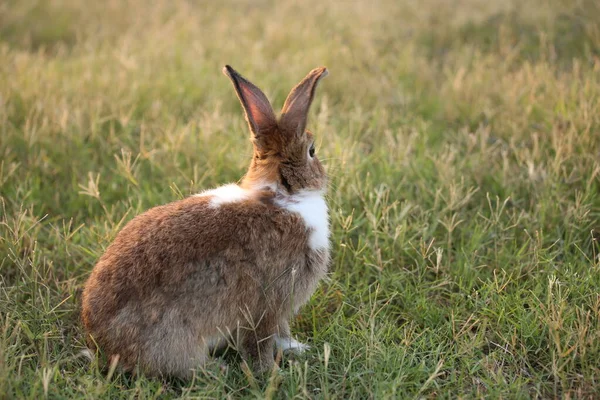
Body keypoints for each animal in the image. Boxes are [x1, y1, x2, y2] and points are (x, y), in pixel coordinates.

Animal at [80, 65, 330, 378]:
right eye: (312, 151)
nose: (326, 176)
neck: (280, 195)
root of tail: (101, 346)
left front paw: (298, 350)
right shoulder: (269, 302)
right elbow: (261, 341)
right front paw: (272, 374)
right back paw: (215, 370)